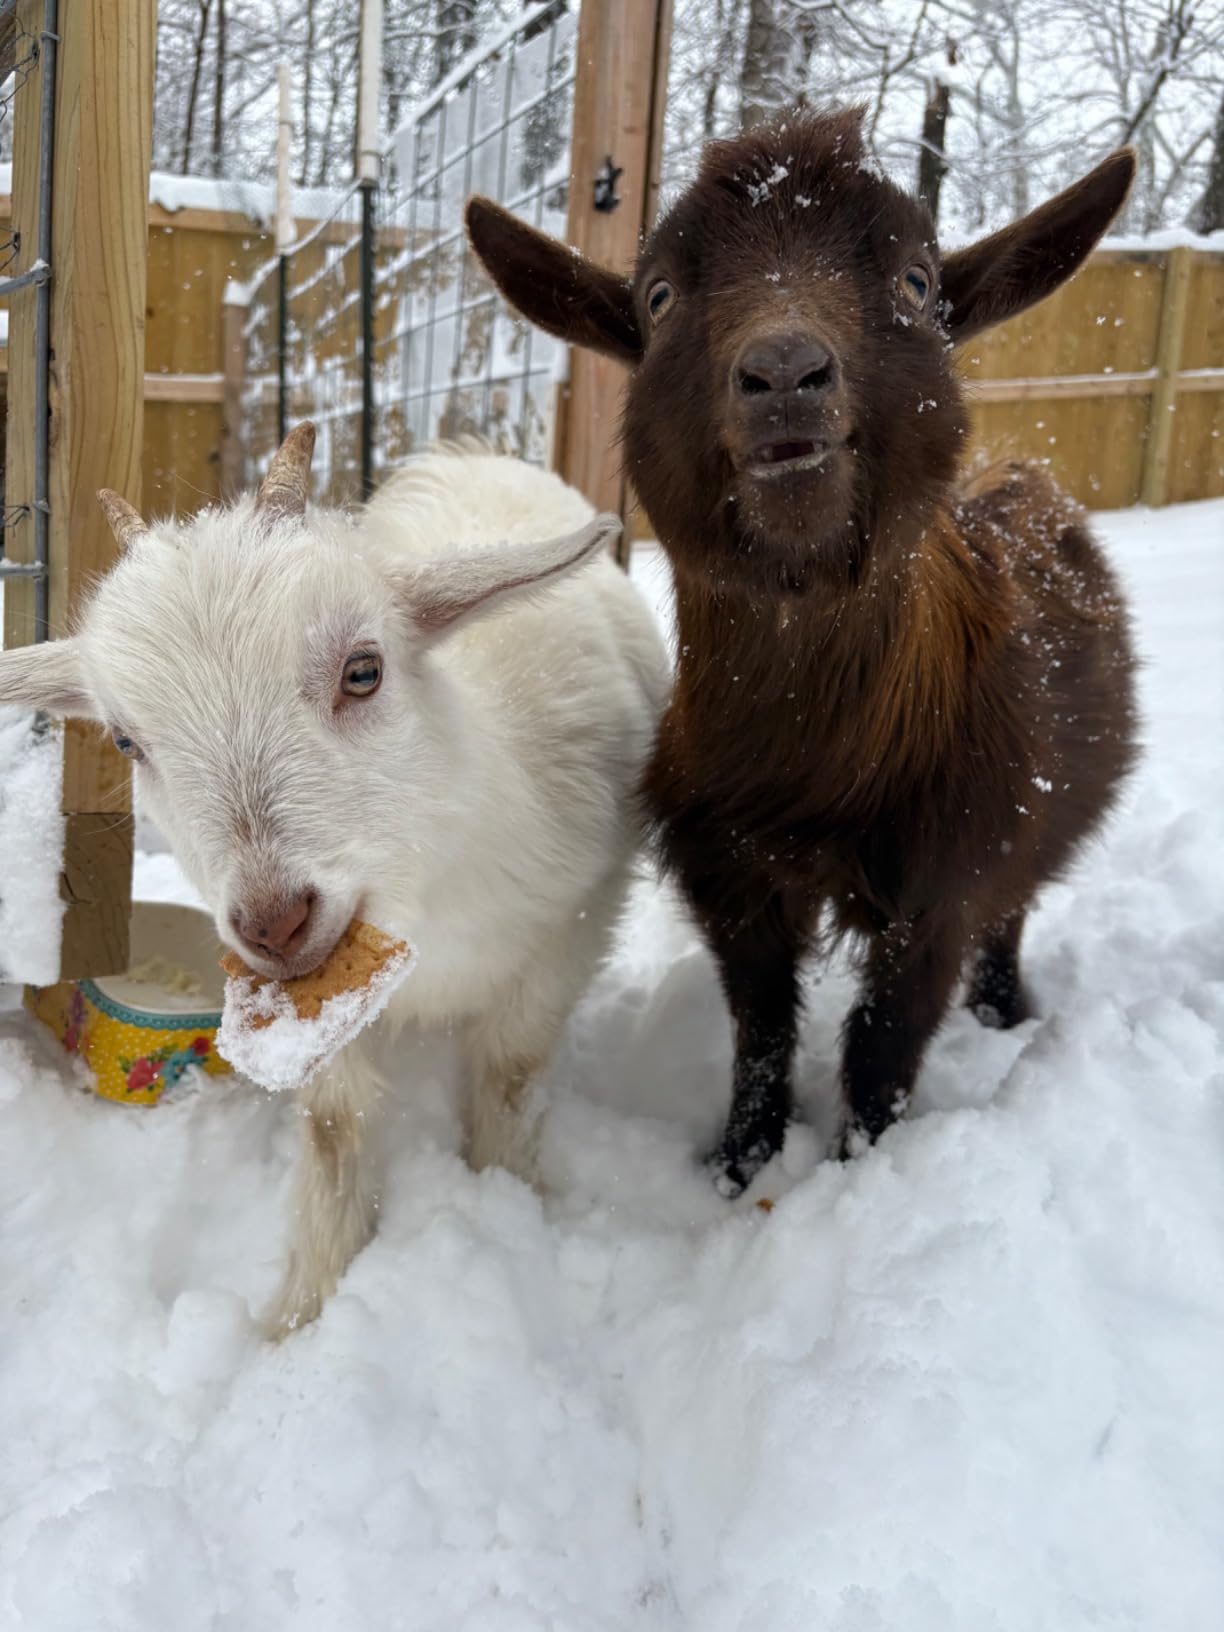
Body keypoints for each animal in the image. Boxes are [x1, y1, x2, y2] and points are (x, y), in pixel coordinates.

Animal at [0, 425, 670, 1331]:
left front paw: (509, 1201)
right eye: (126, 742)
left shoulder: (577, 918)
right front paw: (303, 1312)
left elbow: (510, 1072)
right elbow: (332, 1125)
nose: (274, 921)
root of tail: (474, 453)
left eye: (364, 670)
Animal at [467, 110, 1139, 1192]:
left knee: (1013, 914)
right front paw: (741, 1166)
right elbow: (764, 1025)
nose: (784, 374)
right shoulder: (729, 874)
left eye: (917, 282)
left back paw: (1004, 1013)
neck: (815, 774)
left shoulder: (944, 879)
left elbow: (883, 1044)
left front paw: (863, 1168)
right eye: (658, 295)